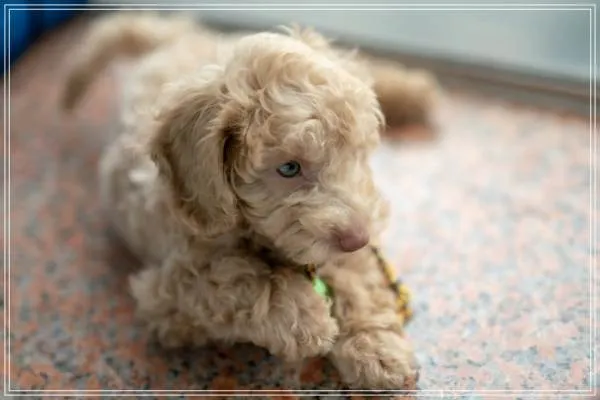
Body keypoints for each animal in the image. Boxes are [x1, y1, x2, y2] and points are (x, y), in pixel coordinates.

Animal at [62, 12, 438, 389]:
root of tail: (176, 37)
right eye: (289, 168)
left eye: (356, 154)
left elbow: (357, 281)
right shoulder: (166, 298)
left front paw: (378, 350)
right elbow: (232, 280)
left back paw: (413, 92)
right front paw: (306, 317)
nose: (358, 238)